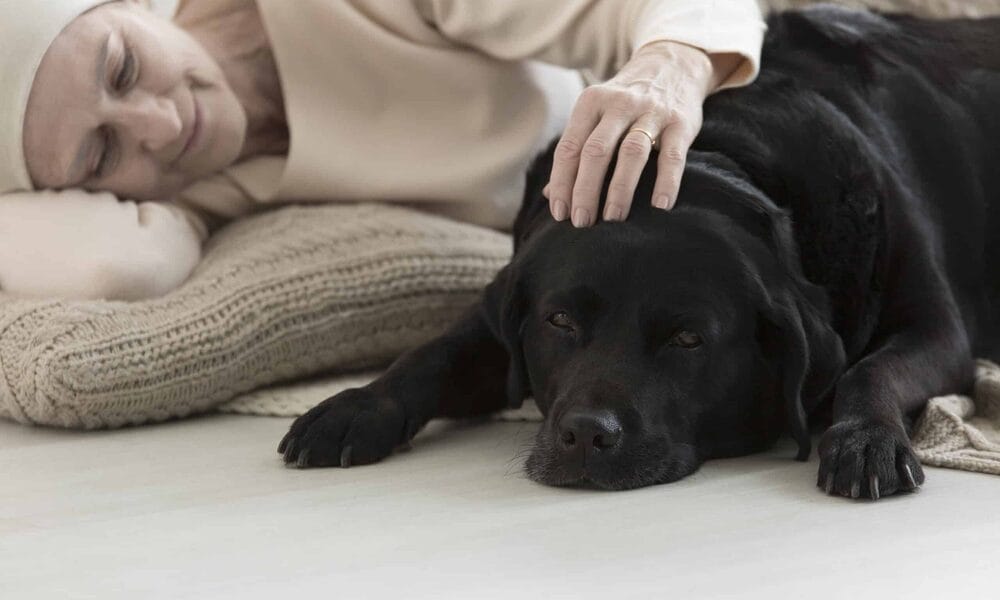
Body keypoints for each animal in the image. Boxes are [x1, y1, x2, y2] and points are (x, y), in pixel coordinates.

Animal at [278, 7, 1000, 500]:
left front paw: (865, 440)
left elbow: (869, 371)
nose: (586, 435)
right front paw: (353, 407)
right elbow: (433, 353)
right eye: (560, 322)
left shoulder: (938, 331)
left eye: (688, 340)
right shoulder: (504, 312)